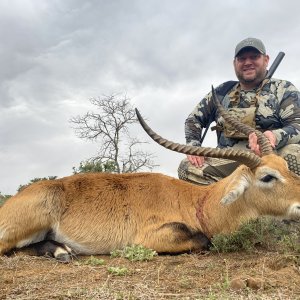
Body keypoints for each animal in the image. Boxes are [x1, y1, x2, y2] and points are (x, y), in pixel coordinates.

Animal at [0, 86, 298, 260]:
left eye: (286, 168)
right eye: (267, 176)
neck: (198, 203)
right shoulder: (152, 237)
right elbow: (203, 239)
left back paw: (62, 251)